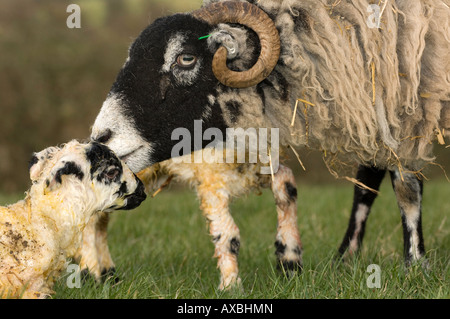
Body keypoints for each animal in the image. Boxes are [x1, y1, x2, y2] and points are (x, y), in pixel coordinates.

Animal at [89, 0, 448, 286]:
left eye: (186, 58)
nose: (101, 138)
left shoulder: (405, 98)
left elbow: (404, 186)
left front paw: (415, 265)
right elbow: (370, 181)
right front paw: (346, 259)